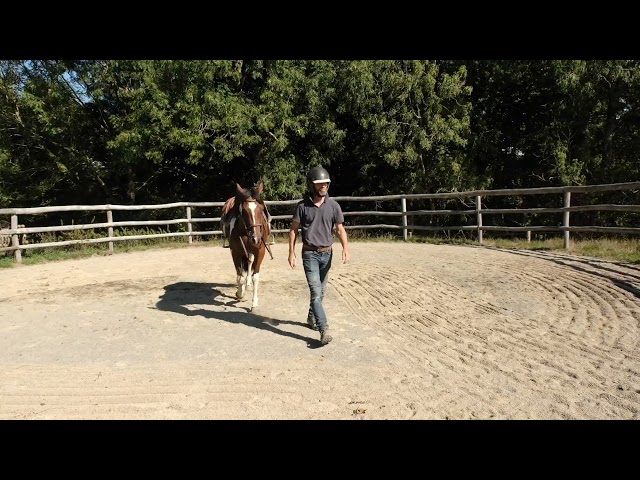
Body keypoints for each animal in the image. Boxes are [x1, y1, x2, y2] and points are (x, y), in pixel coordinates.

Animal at [220, 181, 272, 311]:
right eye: (243, 211)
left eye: (261, 209)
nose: (256, 238)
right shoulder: (235, 253)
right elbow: (240, 277)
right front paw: (240, 294)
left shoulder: (260, 251)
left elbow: (255, 277)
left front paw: (254, 303)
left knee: (249, 262)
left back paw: (248, 284)